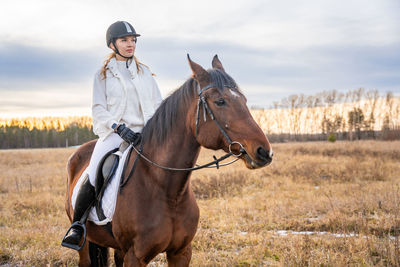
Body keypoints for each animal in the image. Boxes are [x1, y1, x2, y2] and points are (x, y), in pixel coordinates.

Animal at [65, 55, 272, 266]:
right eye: (220, 101)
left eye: (244, 100)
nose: (264, 151)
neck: (167, 191)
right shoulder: (135, 256)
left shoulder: (181, 252)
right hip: (85, 243)